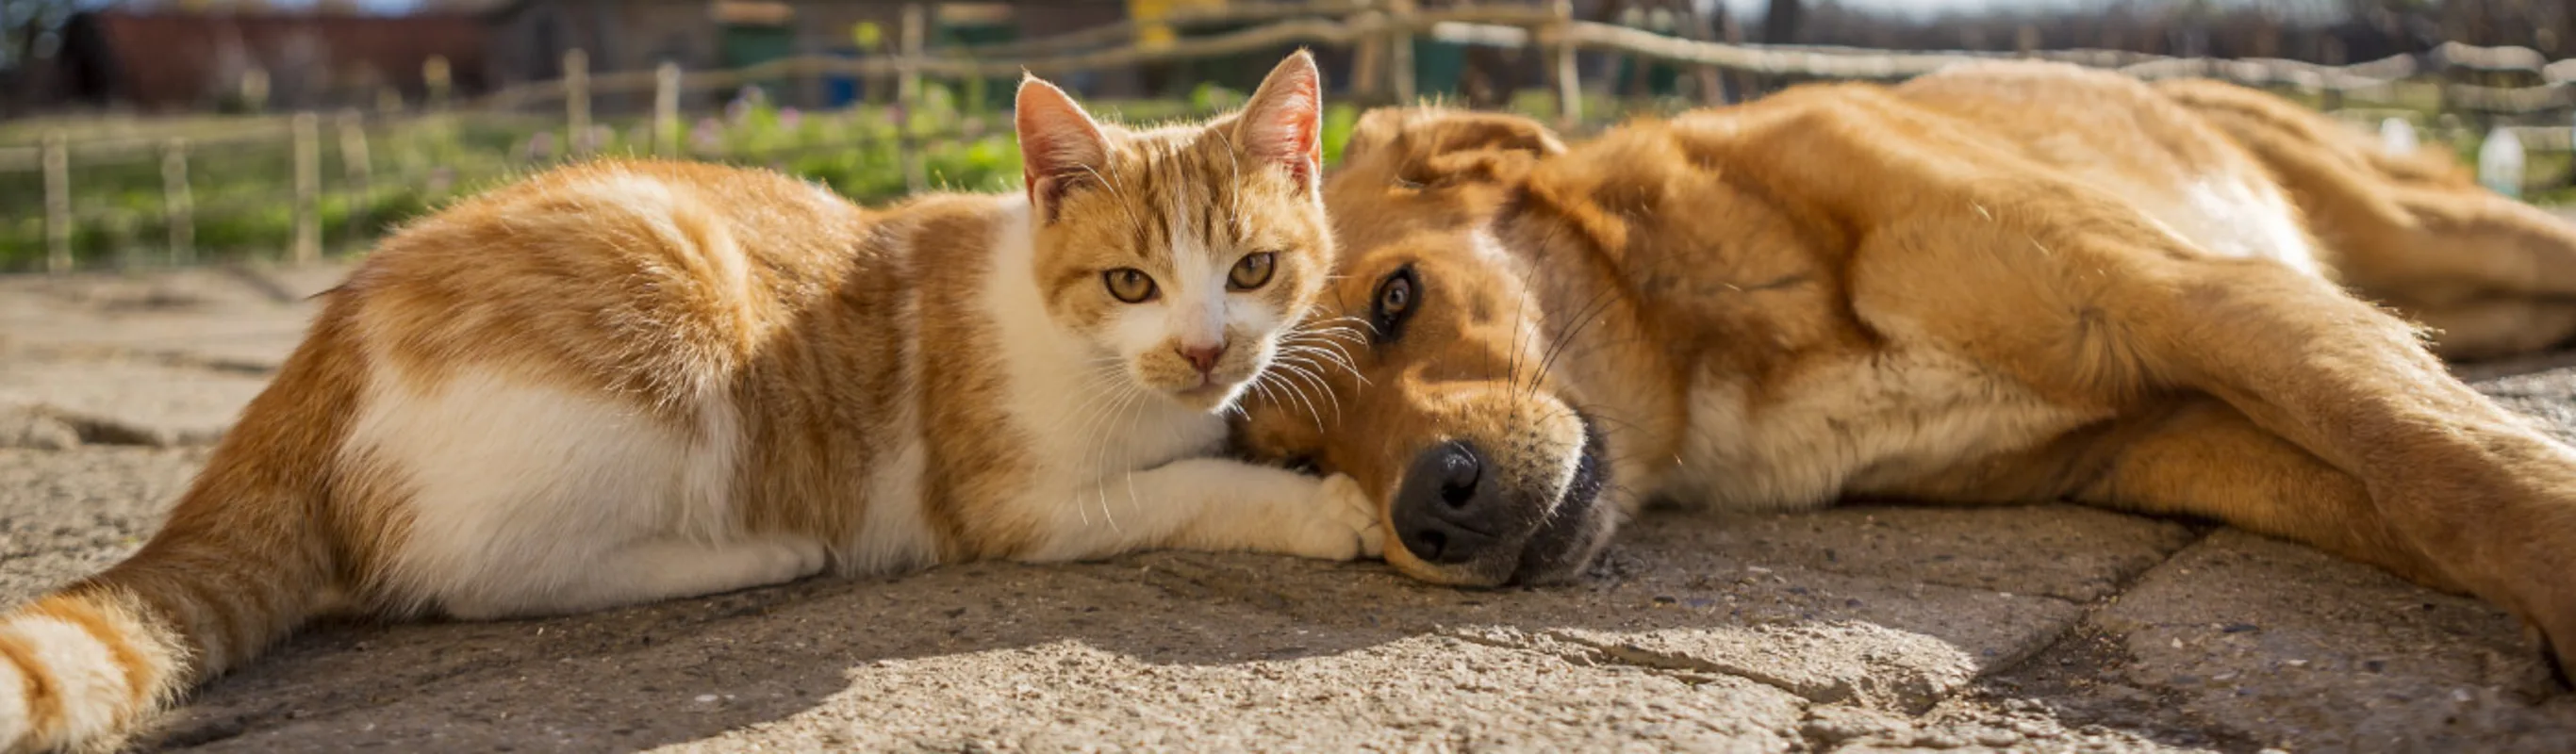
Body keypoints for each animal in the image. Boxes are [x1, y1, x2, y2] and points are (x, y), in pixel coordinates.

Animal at [0, 49, 1380, 746]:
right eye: (1129, 280)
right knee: (471, 574)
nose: (1203, 350)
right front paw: (1319, 506)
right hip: (669, 338)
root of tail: (331, 330)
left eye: (1253, 269)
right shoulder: (1016, 504)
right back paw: (753, 553)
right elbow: (1185, 488)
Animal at [1226, 59, 2576, 679]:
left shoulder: (2200, 294)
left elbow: (2442, 458)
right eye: (1300, 460)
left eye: (1395, 299)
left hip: (2435, 230)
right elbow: (2408, 498)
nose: (1430, 511)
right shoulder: (2178, 437)